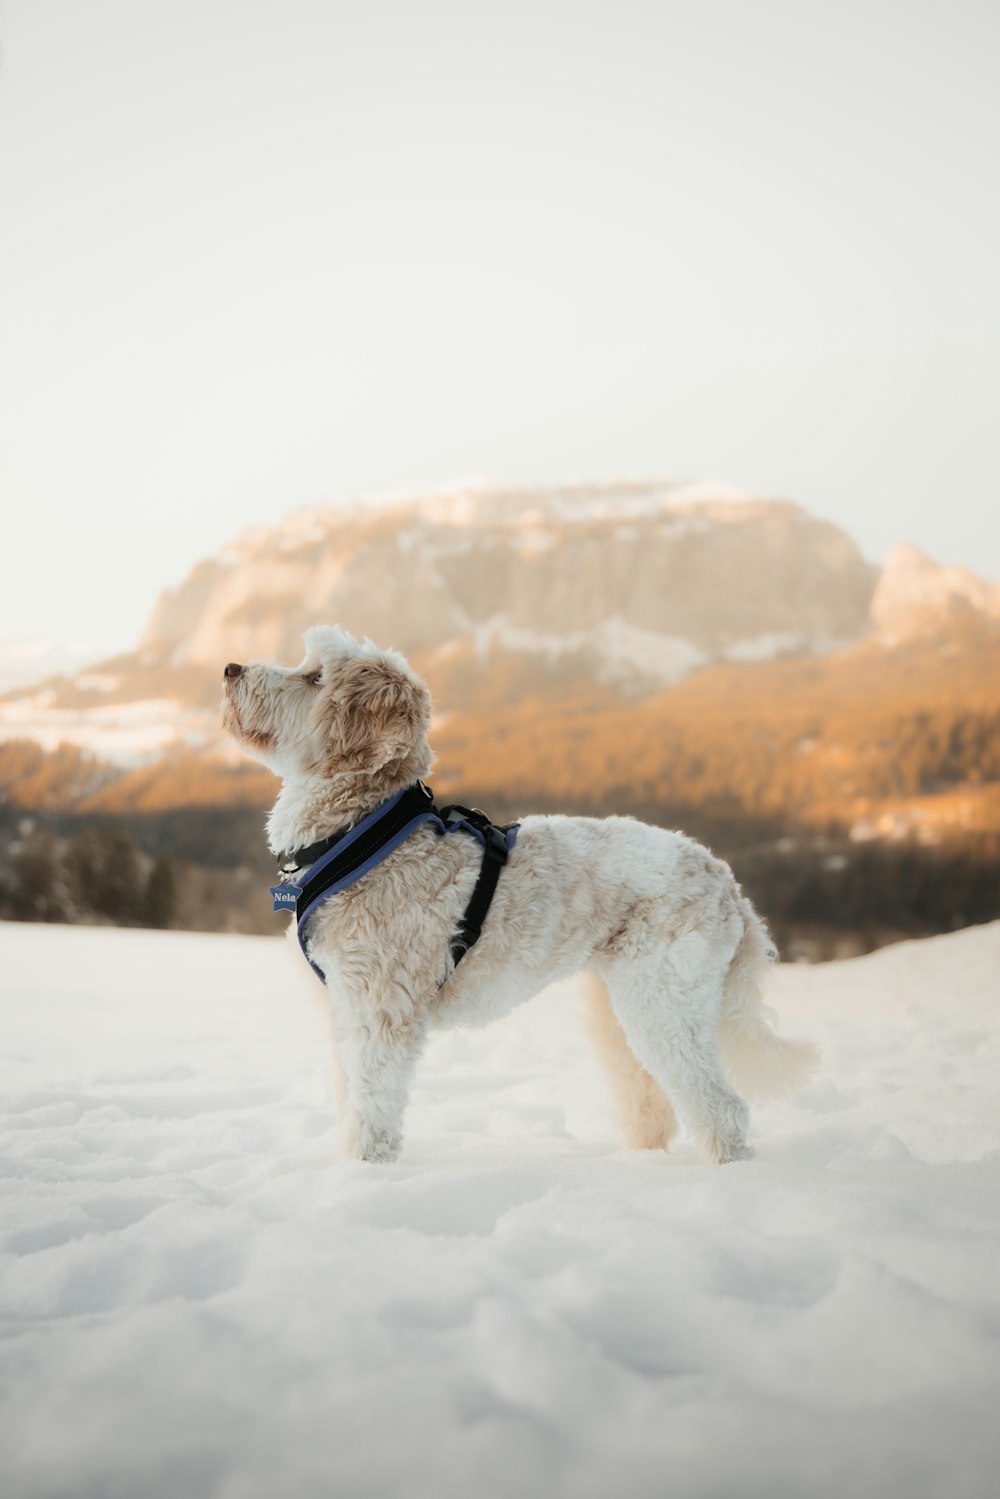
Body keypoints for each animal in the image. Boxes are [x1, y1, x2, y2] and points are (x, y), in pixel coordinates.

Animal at [223, 626, 815, 1163]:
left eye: (314, 677)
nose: (229, 668)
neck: (363, 835)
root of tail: (726, 881)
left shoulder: (381, 1010)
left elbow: (371, 1108)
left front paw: (363, 1178)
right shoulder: (345, 1010)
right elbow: (349, 1098)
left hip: (664, 1001)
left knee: (721, 1107)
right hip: (616, 1008)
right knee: (651, 1101)